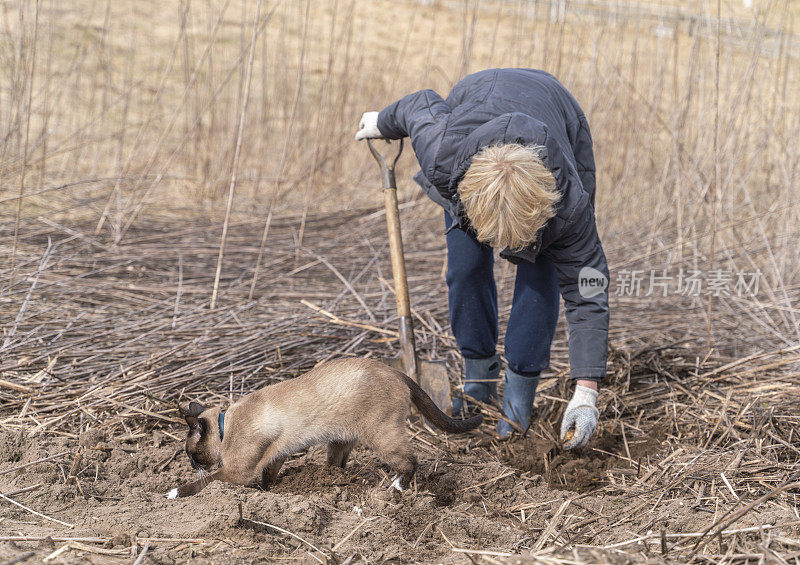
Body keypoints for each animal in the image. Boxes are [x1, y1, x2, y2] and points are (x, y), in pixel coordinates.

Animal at [167, 360, 482, 496]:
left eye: (191, 455)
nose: (192, 464)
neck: (225, 428)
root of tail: (396, 370)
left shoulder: (237, 472)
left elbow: (206, 482)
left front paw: (174, 493)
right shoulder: (276, 456)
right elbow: (268, 478)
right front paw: (268, 494)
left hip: (381, 435)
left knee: (409, 461)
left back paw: (396, 488)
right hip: (340, 441)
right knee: (337, 466)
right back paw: (333, 481)